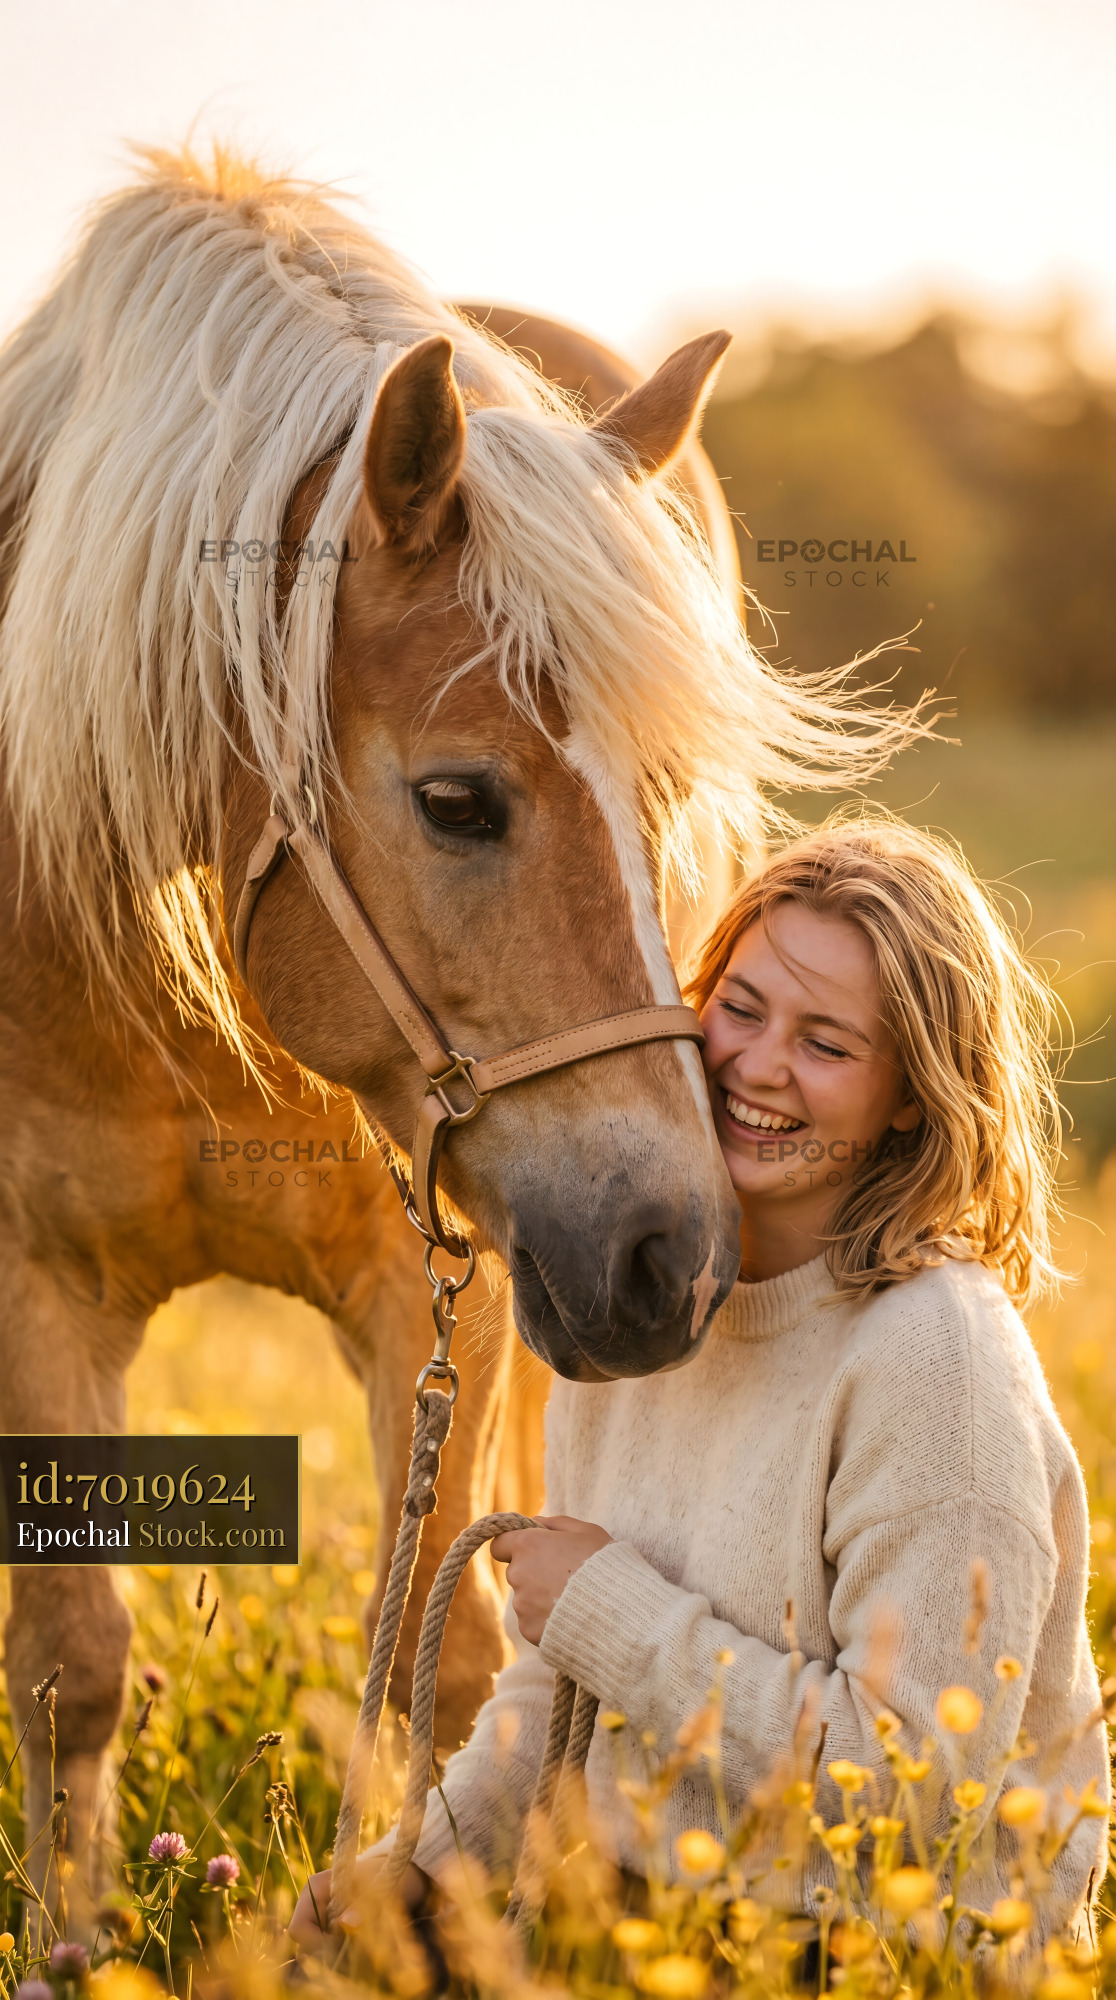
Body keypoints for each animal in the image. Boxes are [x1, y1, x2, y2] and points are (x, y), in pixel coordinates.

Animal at [0, 147, 905, 1924]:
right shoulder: (33, 1289)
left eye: (669, 799)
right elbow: (73, 1662)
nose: (673, 1256)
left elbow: (454, 1649)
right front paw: (70, 1941)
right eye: (458, 800)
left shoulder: (460, 1290)